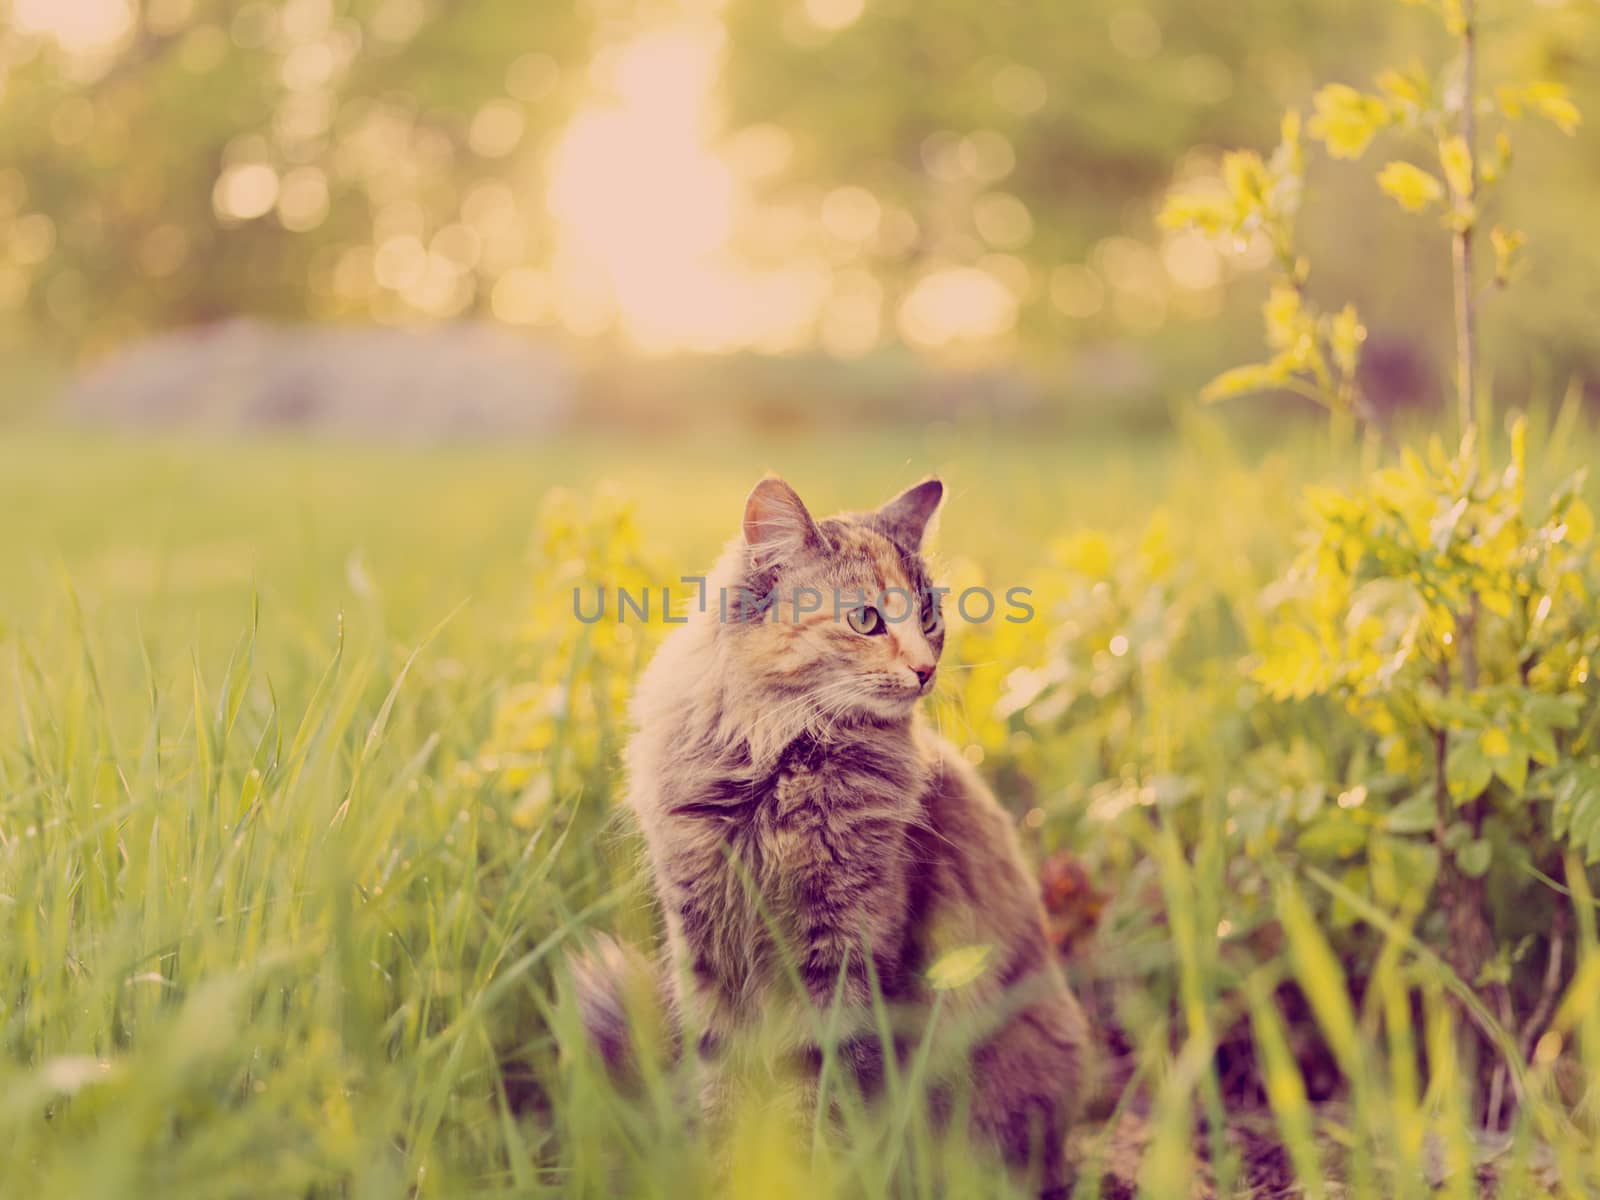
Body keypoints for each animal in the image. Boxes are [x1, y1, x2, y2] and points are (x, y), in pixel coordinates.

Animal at [572, 476, 1088, 1196]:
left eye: (930, 616)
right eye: (867, 621)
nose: (926, 669)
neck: (775, 767)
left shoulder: (840, 962)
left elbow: (812, 1103)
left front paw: (798, 1174)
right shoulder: (707, 953)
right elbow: (724, 1091)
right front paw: (729, 1173)